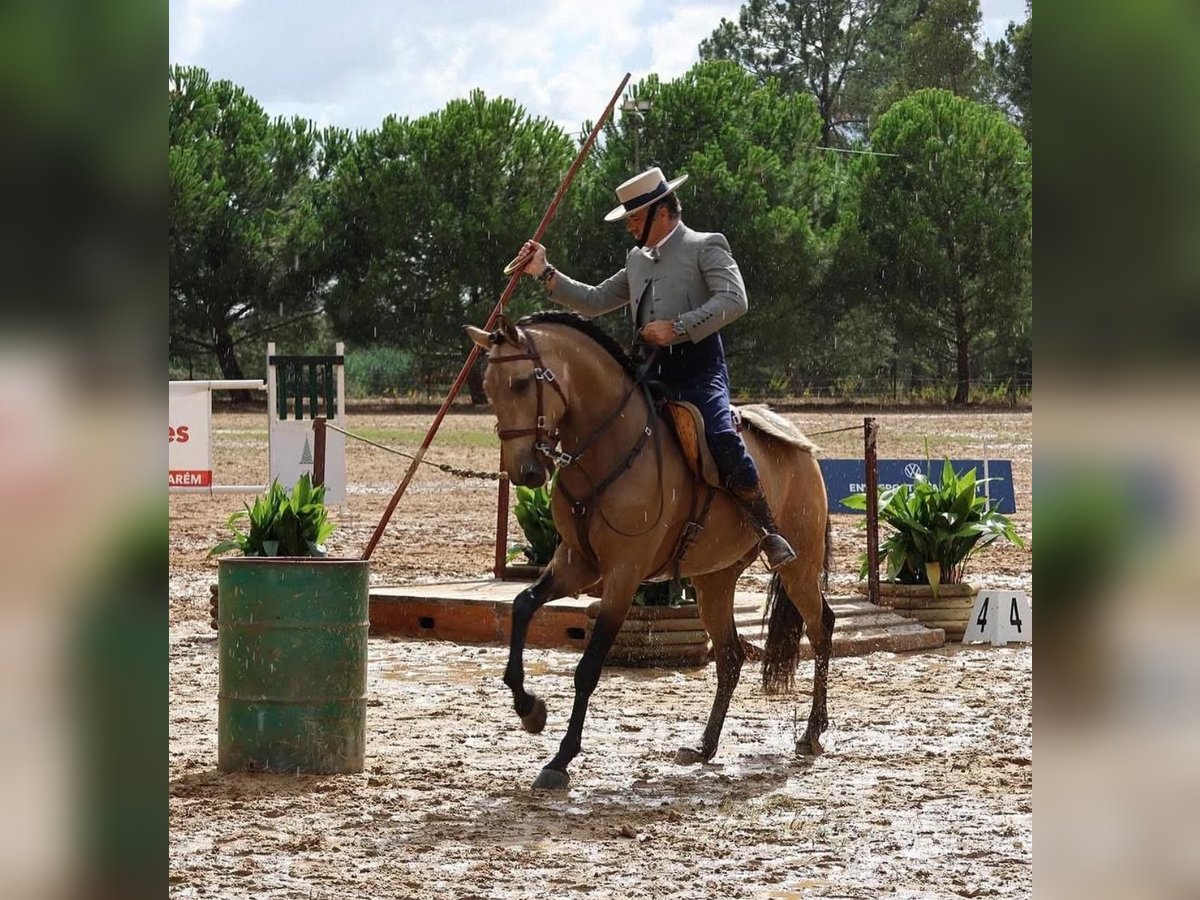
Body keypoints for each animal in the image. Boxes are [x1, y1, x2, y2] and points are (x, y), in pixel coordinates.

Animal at [463, 314, 830, 792]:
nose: (525, 471)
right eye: (489, 389)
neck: (606, 447)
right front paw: (530, 711)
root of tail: (802, 448)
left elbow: (588, 669)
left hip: (799, 567)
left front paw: (561, 758)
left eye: (522, 383)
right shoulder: (576, 564)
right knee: (730, 655)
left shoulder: (623, 574)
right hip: (714, 580)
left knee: (821, 630)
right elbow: (523, 605)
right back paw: (704, 745)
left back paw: (812, 732)